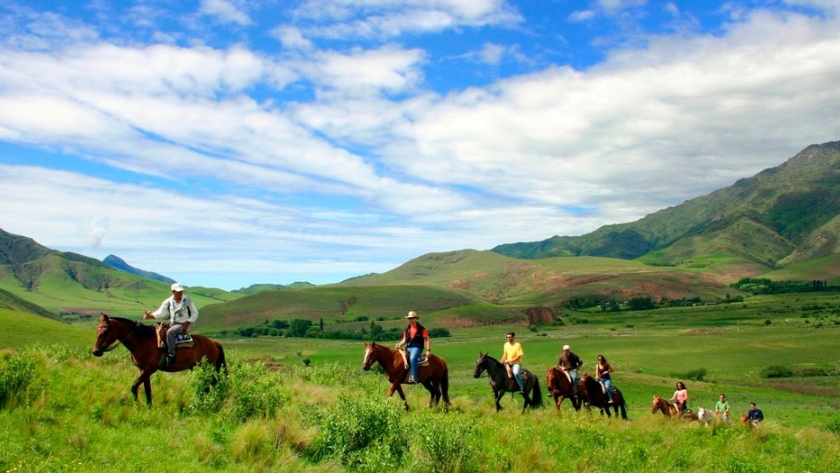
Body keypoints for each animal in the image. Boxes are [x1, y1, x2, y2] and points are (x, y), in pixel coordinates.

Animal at [90, 312, 226, 404]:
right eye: (97, 331)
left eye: (105, 332)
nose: (95, 351)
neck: (143, 340)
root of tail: (214, 342)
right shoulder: (143, 370)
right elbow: (147, 390)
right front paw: (148, 407)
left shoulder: (149, 369)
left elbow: (134, 386)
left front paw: (137, 405)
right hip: (197, 368)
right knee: (206, 385)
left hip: (208, 368)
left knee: (213, 384)